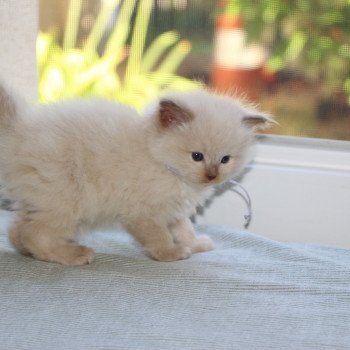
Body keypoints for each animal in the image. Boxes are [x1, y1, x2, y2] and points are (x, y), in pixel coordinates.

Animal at [0, 84, 270, 266]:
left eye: (225, 159)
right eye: (197, 156)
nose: (211, 176)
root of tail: (19, 131)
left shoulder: (173, 209)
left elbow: (184, 229)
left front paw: (194, 245)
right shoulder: (145, 212)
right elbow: (160, 236)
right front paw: (171, 253)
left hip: (38, 200)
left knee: (17, 230)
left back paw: (28, 252)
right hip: (64, 200)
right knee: (35, 234)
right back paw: (74, 255)